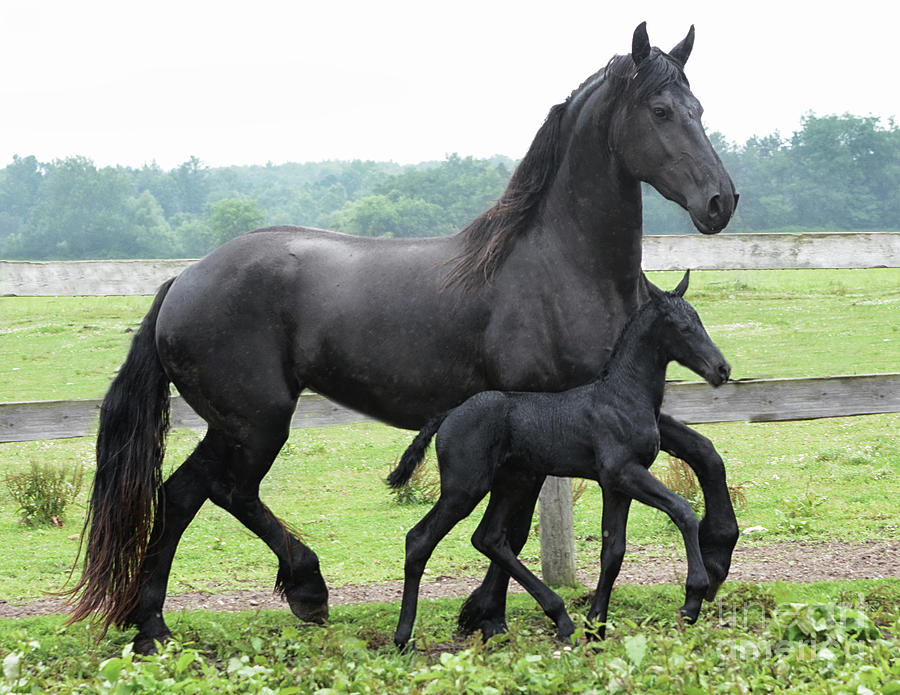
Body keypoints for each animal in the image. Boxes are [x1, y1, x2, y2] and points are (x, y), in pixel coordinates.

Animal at [386, 270, 732, 648]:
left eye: (699, 321)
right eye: (683, 327)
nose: (722, 369)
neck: (621, 397)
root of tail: (449, 414)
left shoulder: (617, 485)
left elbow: (613, 553)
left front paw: (596, 627)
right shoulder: (624, 473)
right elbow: (683, 511)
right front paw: (693, 599)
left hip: (513, 482)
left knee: (489, 538)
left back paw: (561, 618)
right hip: (464, 488)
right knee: (419, 540)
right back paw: (403, 638)